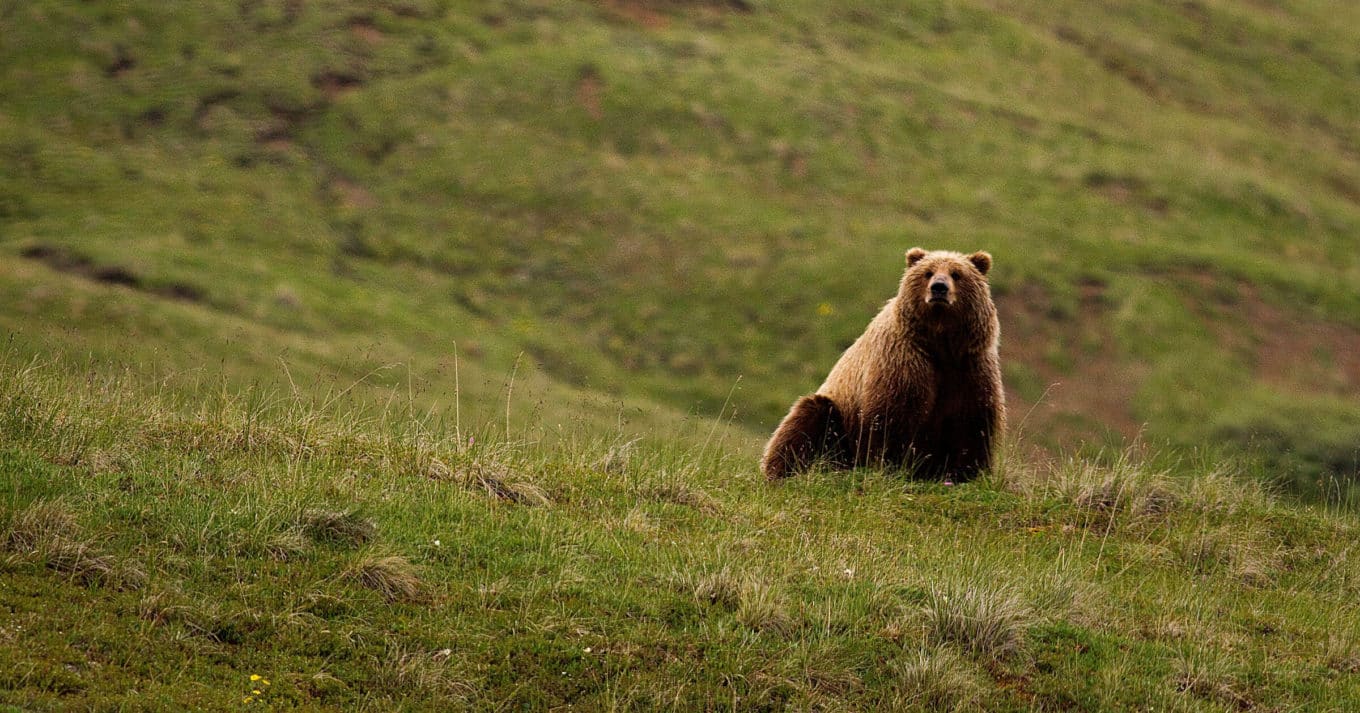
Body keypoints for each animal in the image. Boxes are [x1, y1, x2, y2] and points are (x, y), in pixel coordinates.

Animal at [761, 247, 1005, 481]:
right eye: (928, 272)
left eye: (956, 274)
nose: (939, 288)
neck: (939, 342)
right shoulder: (903, 362)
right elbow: (891, 417)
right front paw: (892, 466)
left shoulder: (969, 367)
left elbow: (972, 422)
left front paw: (967, 472)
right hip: (839, 421)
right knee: (806, 420)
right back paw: (781, 472)